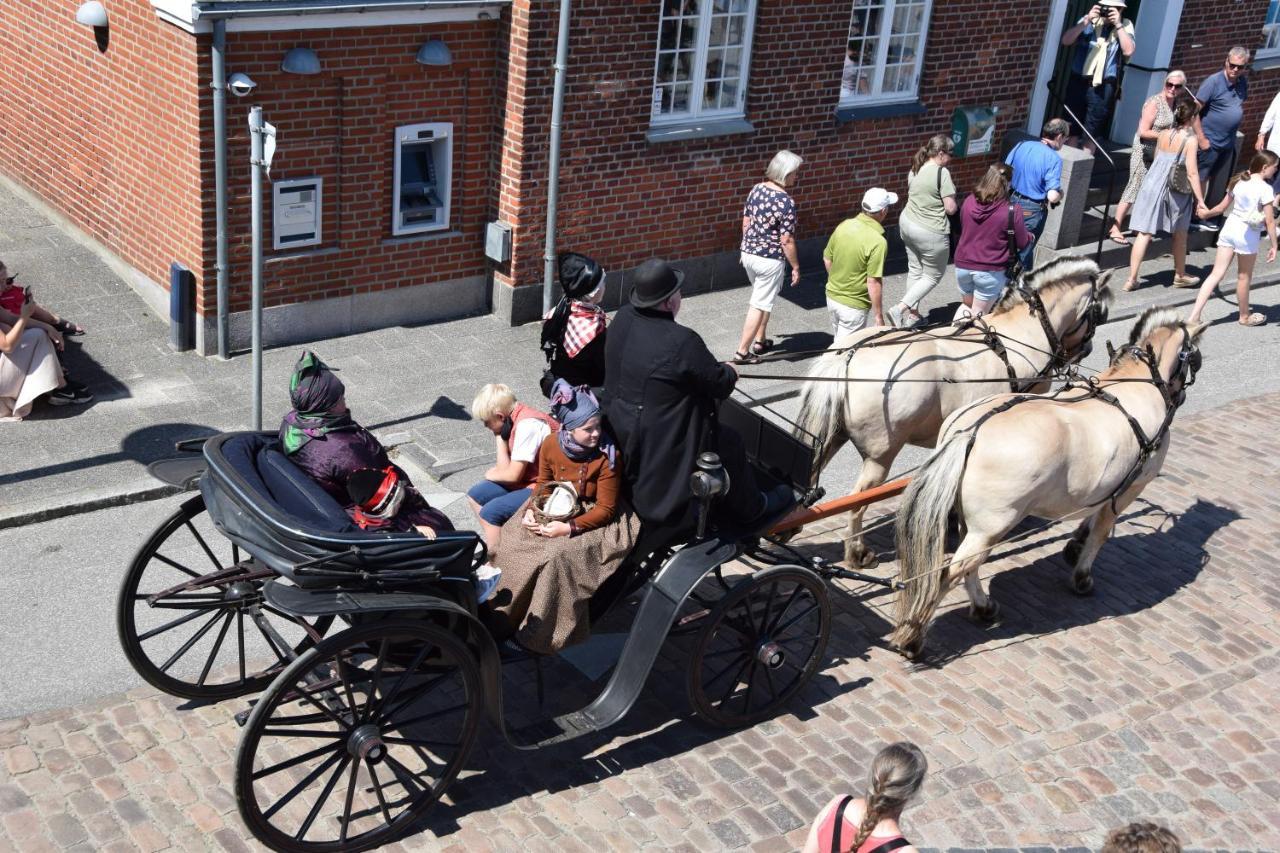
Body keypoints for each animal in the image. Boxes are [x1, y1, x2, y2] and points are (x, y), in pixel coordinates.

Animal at [798, 256, 1111, 568]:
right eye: (1100, 314)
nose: (1085, 350)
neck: (1023, 332)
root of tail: (849, 356)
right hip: (880, 454)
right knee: (858, 500)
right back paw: (857, 553)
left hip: (831, 436)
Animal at [890, 307, 1198, 655]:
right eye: (1193, 355)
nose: (1179, 395)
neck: (1135, 387)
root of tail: (970, 432)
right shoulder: (1131, 488)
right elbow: (1101, 533)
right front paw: (1082, 576)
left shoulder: (1110, 485)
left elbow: (1093, 518)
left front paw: (1076, 542)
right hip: (993, 526)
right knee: (949, 572)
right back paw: (914, 636)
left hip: (975, 525)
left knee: (968, 567)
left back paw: (982, 607)